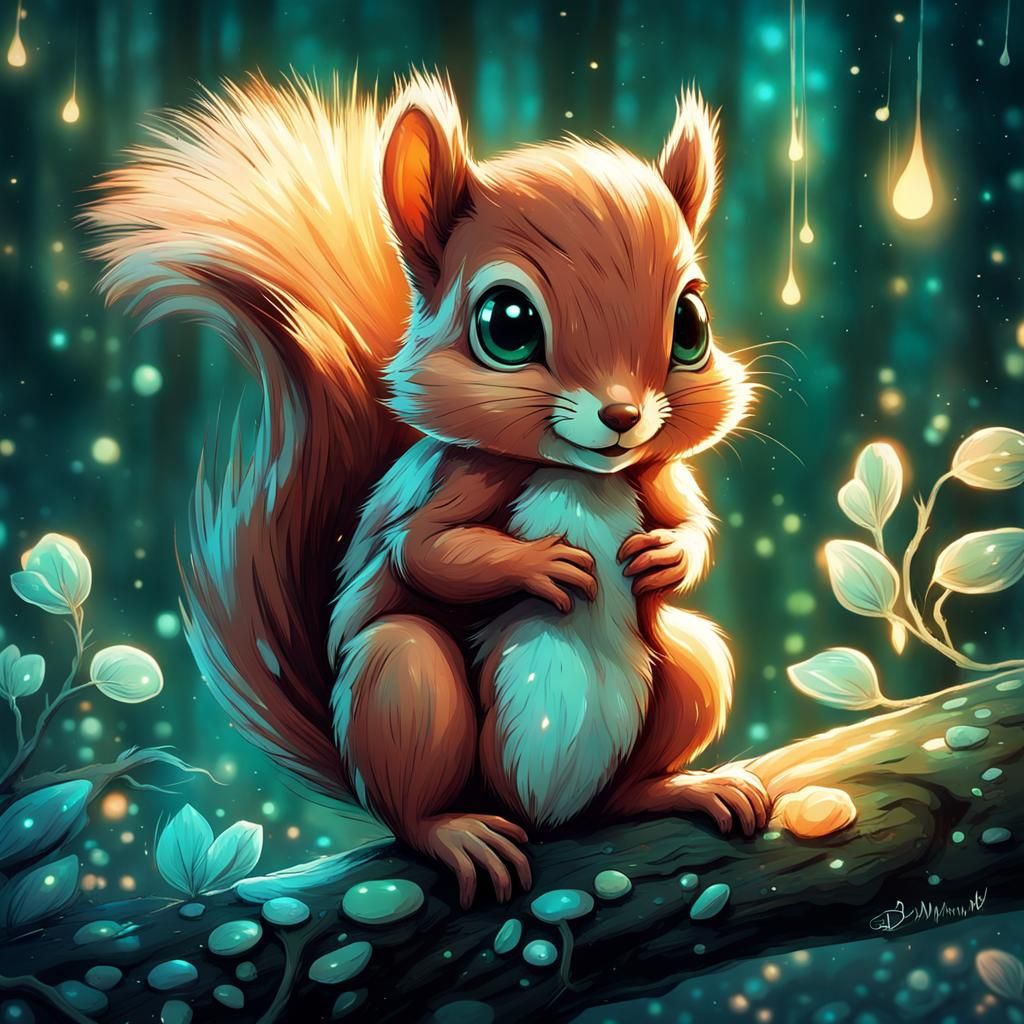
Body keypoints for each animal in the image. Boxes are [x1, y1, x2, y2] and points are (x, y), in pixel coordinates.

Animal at [84, 72, 772, 907]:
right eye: (507, 324)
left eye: (692, 322)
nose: (622, 417)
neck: (577, 475)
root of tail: (547, 815)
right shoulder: (454, 479)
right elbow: (427, 552)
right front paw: (545, 565)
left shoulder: (657, 475)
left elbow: (691, 526)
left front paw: (666, 557)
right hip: (405, 689)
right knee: (411, 791)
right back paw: (455, 833)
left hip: (690, 664)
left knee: (644, 747)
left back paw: (680, 787)